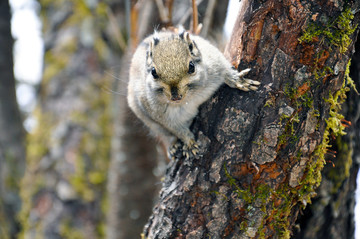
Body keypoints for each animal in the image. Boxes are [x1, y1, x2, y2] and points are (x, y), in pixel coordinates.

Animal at [126, 29, 258, 160]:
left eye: (191, 66)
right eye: (153, 72)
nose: (175, 96)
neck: (188, 98)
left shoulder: (214, 62)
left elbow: (225, 70)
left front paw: (237, 80)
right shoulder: (161, 117)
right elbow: (178, 130)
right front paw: (190, 144)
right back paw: (173, 146)